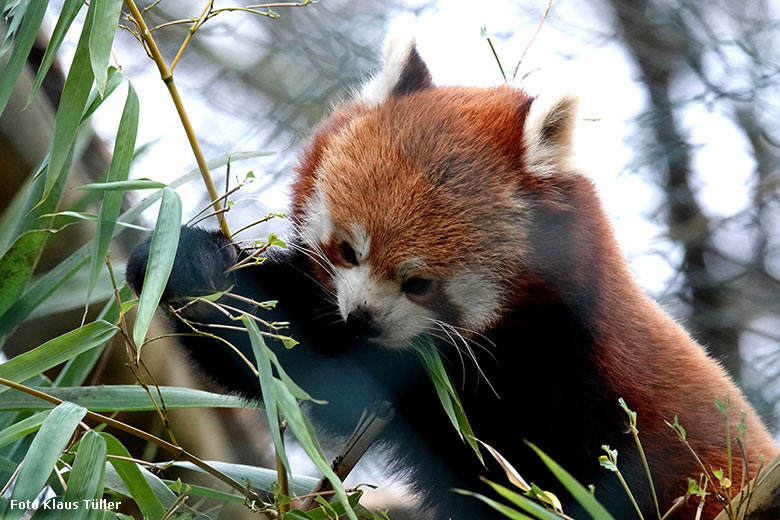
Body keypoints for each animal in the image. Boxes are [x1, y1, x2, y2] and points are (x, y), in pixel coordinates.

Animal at [128, 19, 772, 520]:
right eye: (348, 250)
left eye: (420, 284)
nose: (361, 319)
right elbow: (299, 355)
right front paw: (189, 266)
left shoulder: (575, 378)